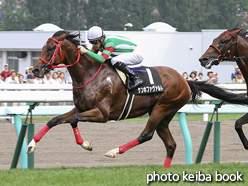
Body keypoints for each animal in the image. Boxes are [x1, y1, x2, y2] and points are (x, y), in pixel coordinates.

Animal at [26, 30, 248, 169]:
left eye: (49, 48)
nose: (35, 70)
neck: (90, 74)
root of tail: (184, 80)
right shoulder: (81, 108)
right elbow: (54, 120)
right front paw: (31, 144)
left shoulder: (102, 114)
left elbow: (73, 120)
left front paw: (85, 144)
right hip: (164, 115)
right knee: (170, 144)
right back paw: (163, 171)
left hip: (162, 107)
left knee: (146, 135)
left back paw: (114, 151)